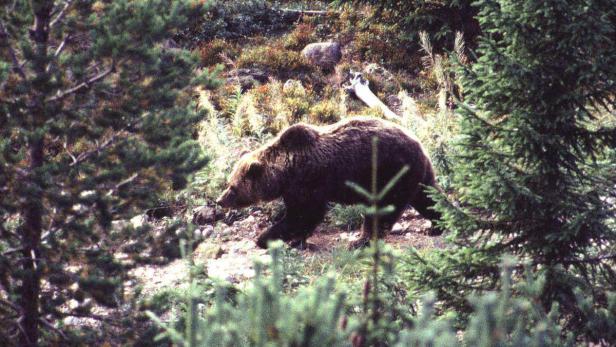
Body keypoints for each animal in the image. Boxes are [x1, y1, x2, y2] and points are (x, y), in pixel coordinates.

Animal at [217, 117, 442, 250]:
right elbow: (303, 217)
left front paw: (265, 238)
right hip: (417, 174)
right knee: (428, 198)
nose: (220, 200)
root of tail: (418, 142)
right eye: (228, 183)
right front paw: (296, 240)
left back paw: (361, 240)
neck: (284, 172)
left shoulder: (305, 182)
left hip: (390, 172)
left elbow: (304, 214)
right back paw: (437, 225)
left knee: (383, 208)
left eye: (233, 187)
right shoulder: (296, 188)